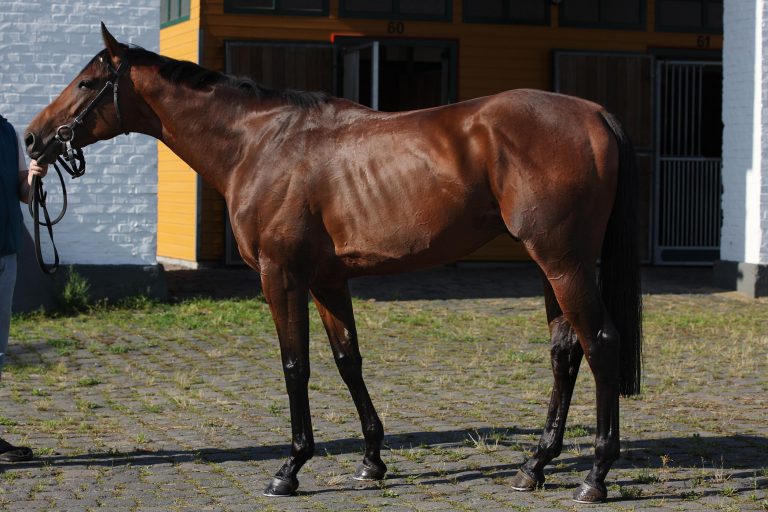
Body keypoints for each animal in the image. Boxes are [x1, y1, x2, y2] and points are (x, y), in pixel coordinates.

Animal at [25, 23, 642, 503]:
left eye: (86, 82)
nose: (32, 139)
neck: (260, 145)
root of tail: (596, 114)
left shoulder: (280, 276)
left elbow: (295, 366)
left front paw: (290, 468)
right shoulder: (327, 277)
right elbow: (349, 360)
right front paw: (371, 460)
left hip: (564, 262)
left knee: (600, 343)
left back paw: (594, 476)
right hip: (550, 266)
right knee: (565, 353)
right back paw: (534, 466)